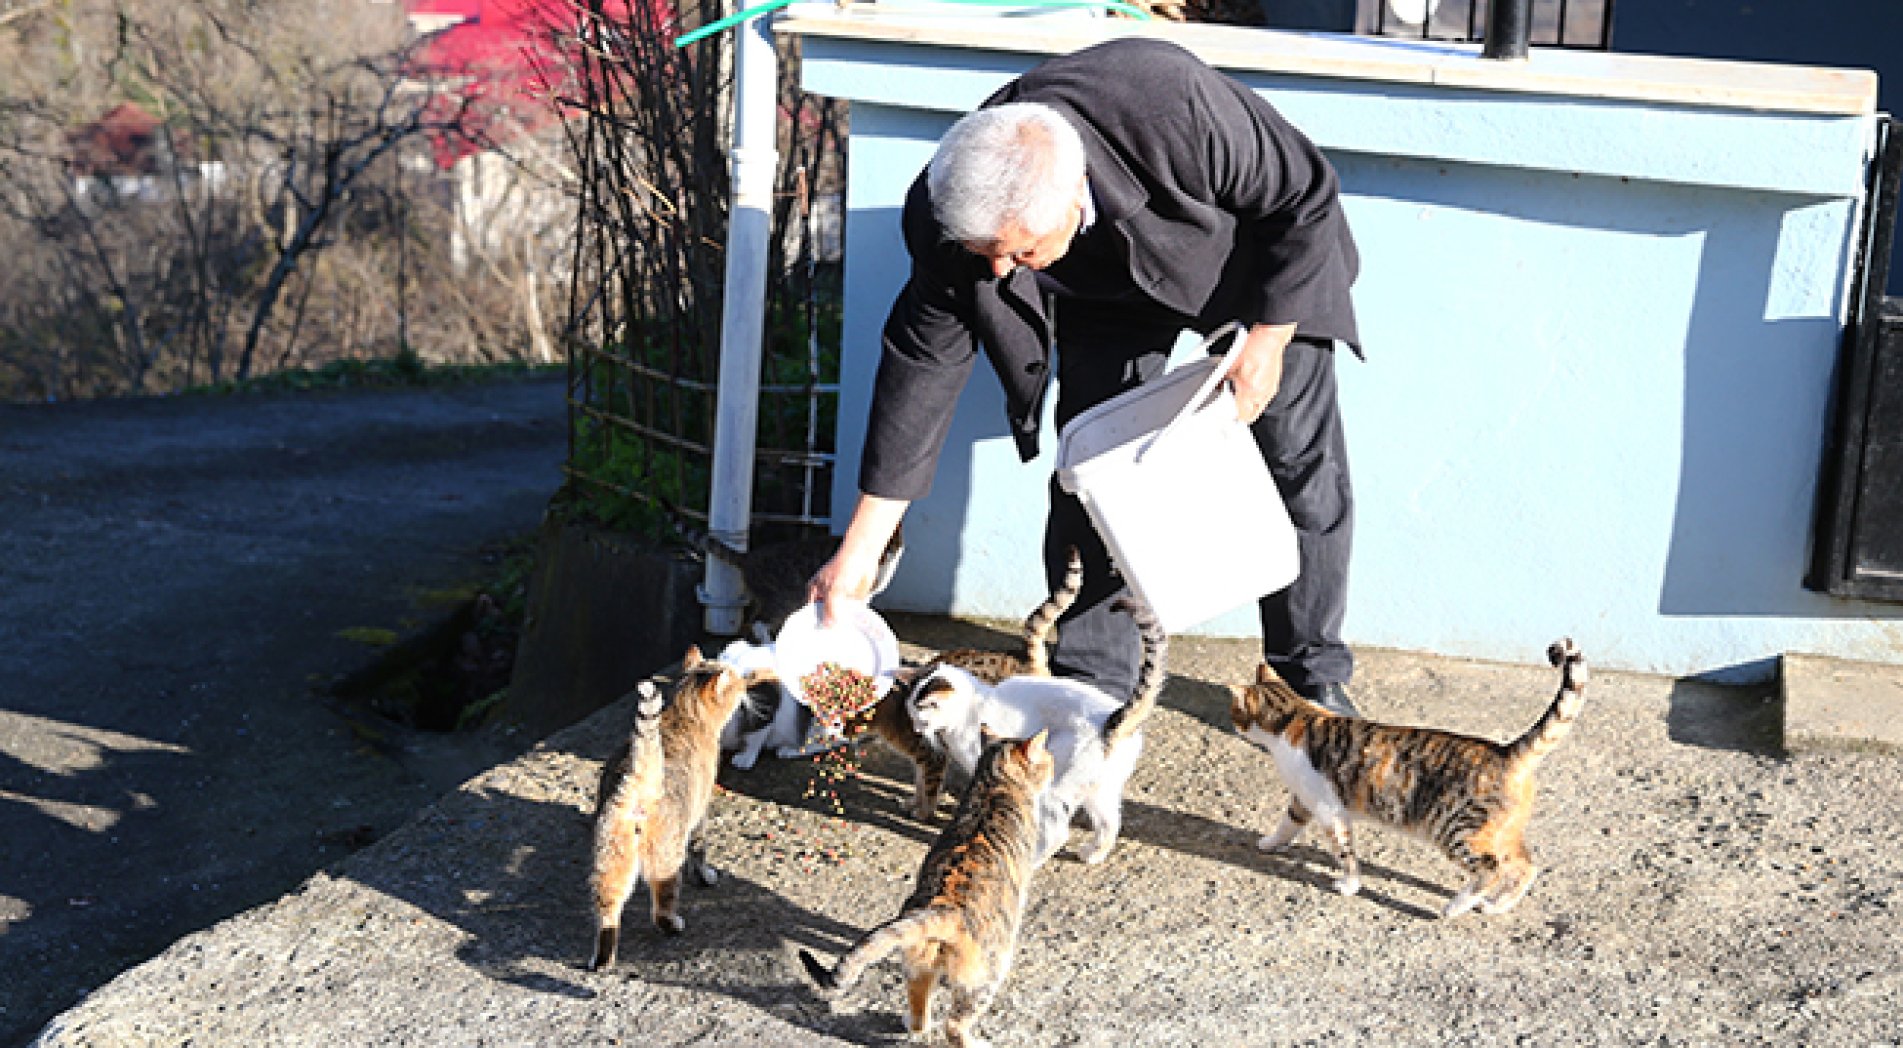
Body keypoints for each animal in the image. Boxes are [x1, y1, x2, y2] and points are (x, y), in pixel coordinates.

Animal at [589, 642, 776, 973]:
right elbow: (699, 849)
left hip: (610, 860)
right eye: (736, 682)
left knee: (608, 912)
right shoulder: (700, 811)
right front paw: (705, 875)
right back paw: (674, 924)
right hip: (665, 858)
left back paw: (602, 960)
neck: (683, 714)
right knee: (661, 907)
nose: (746, 685)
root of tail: (641, 779)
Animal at [791, 726, 1058, 1048]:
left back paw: (912, 1024)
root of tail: (944, 909)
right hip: (985, 977)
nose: (1054, 766)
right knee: (954, 1025)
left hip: (918, 965)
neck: (993, 783)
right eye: (1047, 760)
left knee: (920, 1010)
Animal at [902, 597, 1164, 871]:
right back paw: (1093, 854)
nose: (916, 730)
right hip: (1100, 790)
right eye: (910, 715)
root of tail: (1112, 719)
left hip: (1057, 786)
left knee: (1058, 832)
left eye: (920, 718)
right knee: (1110, 823)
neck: (971, 705)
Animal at [1225, 639, 1583, 920]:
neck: (1295, 717)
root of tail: (1506, 751)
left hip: (1456, 831)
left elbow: (1345, 855)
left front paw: (1349, 885)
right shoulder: (1303, 800)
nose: (1233, 725)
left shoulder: (1330, 812)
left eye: (1234, 712)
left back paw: (1455, 907)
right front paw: (1271, 843)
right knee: (1526, 867)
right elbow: (1287, 824)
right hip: (1501, 832)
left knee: (1491, 869)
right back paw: (1496, 907)